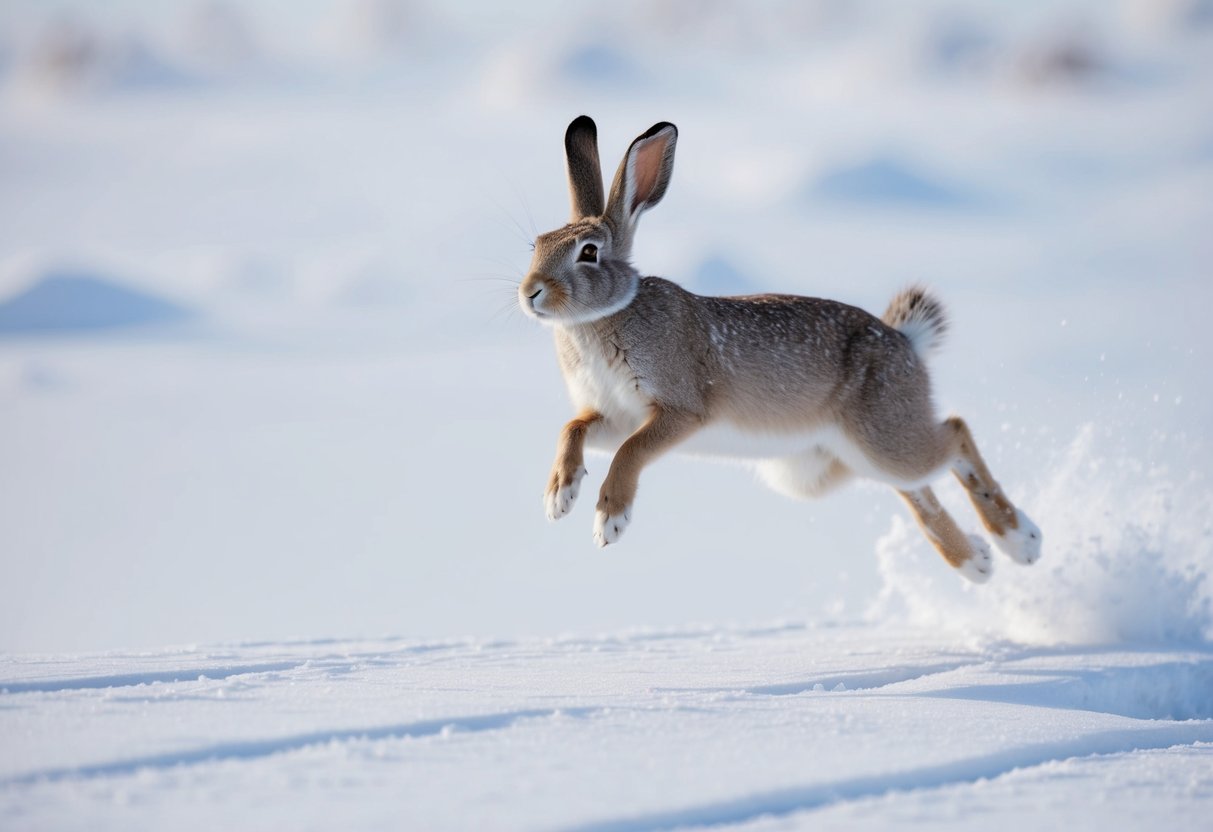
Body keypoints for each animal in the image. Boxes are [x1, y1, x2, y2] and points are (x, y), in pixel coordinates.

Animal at [518, 116, 1041, 581]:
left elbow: (631, 452)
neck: (605, 316)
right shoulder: (613, 414)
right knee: (918, 492)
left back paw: (1020, 541)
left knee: (955, 434)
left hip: (883, 437)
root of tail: (906, 341)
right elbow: (574, 429)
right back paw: (976, 561)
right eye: (536, 245)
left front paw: (610, 520)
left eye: (589, 252)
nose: (530, 292)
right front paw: (559, 495)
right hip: (833, 465)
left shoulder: (681, 410)